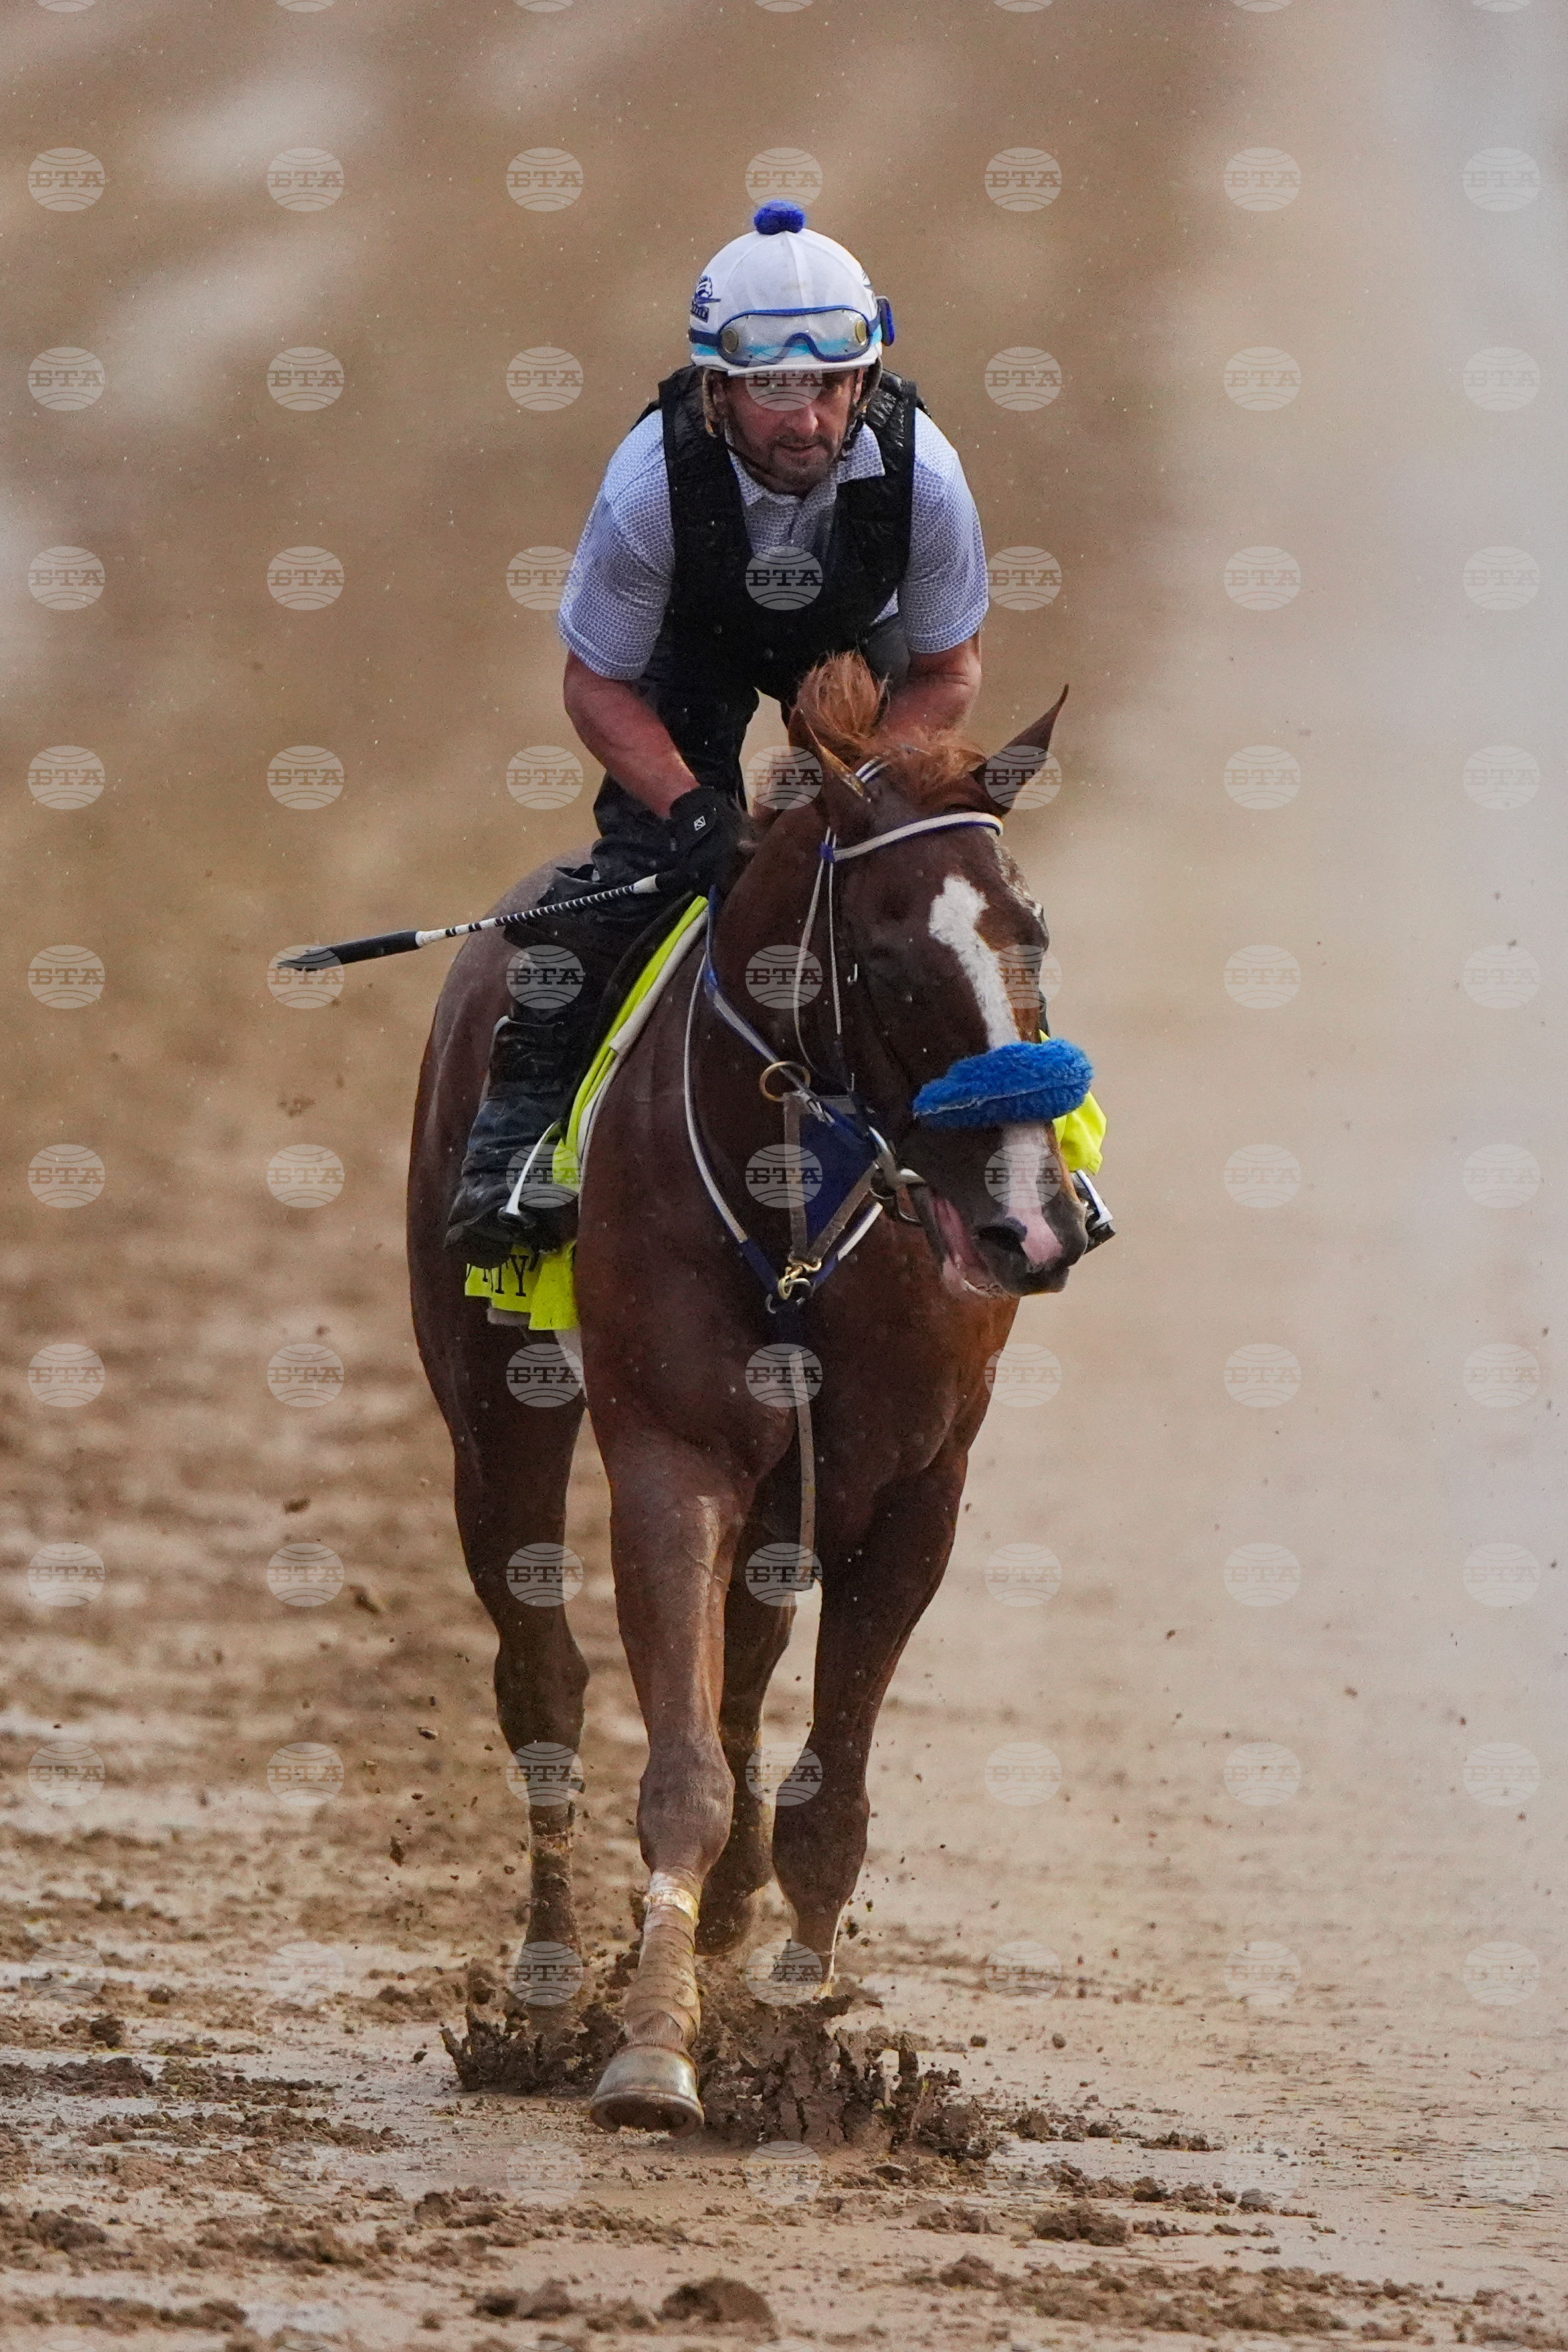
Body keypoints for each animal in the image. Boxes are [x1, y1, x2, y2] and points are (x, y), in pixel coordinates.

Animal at [407, 650, 1091, 2137]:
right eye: (889, 961)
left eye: (1032, 935)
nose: (1030, 1221)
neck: (800, 1200)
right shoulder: (676, 1451)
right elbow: (682, 1771)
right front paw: (655, 2047)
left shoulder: (914, 1485)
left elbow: (825, 1799)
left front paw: (784, 2037)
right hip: (496, 1416)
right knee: (542, 1679)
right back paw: (551, 1985)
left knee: (751, 1663)